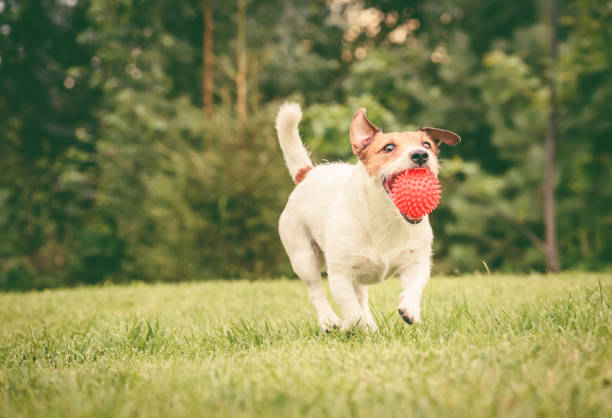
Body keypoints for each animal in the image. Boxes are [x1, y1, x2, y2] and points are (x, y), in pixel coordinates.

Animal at [274, 103, 460, 332]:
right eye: (388, 148)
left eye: (427, 144)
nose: (421, 154)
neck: (386, 218)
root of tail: (307, 174)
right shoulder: (341, 274)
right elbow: (352, 312)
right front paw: (353, 325)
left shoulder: (416, 262)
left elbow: (415, 287)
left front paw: (410, 309)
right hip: (303, 258)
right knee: (316, 291)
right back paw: (330, 321)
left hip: (357, 275)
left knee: (361, 297)